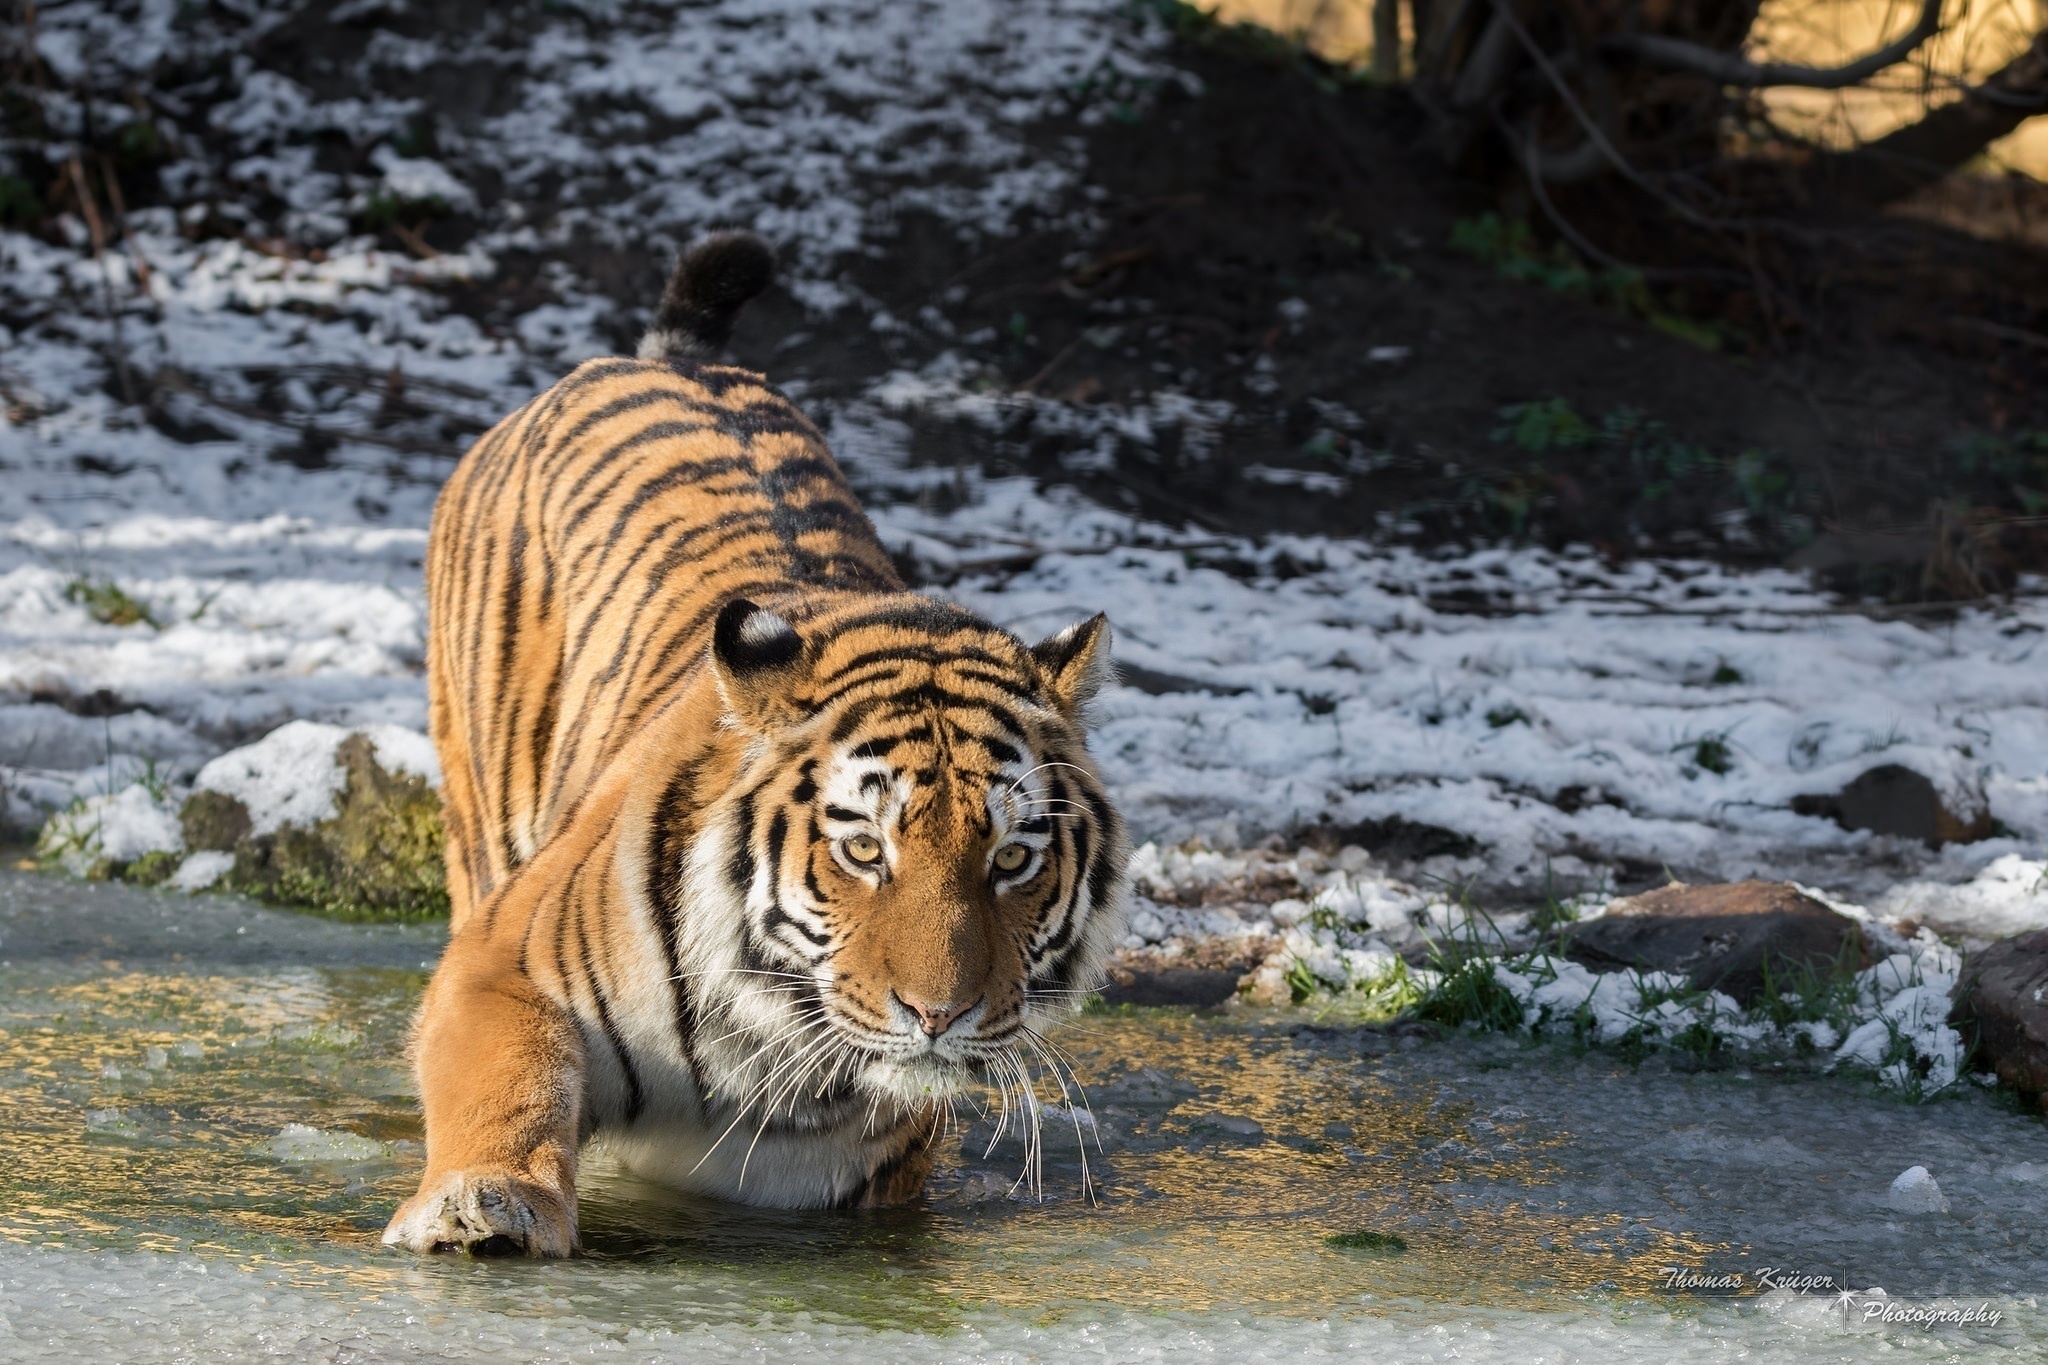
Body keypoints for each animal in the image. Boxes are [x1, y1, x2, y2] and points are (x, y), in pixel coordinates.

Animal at [385, 227, 1138, 1260]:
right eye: (863, 849)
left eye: (1014, 860)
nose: (939, 1016)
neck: (763, 1034)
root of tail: (668, 359)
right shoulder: (502, 964)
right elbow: (510, 1082)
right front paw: (484, 1203)